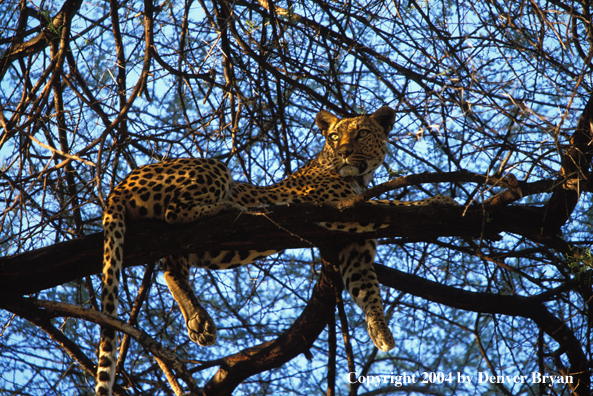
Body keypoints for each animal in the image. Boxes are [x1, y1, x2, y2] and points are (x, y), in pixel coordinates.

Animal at [96, 106, 458, 394]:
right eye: (335, 137)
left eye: (362, 133)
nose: (343, 152)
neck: (360, 179)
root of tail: (119, 184)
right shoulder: (336, 209)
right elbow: (393, 204)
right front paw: (440, 201)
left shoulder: (354, 250)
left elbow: (368, 290)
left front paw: (380, 330)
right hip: (212, 169)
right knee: (177, 212)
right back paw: (228, 207)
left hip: (188, 245)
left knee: (171, 268)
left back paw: (199, 321)